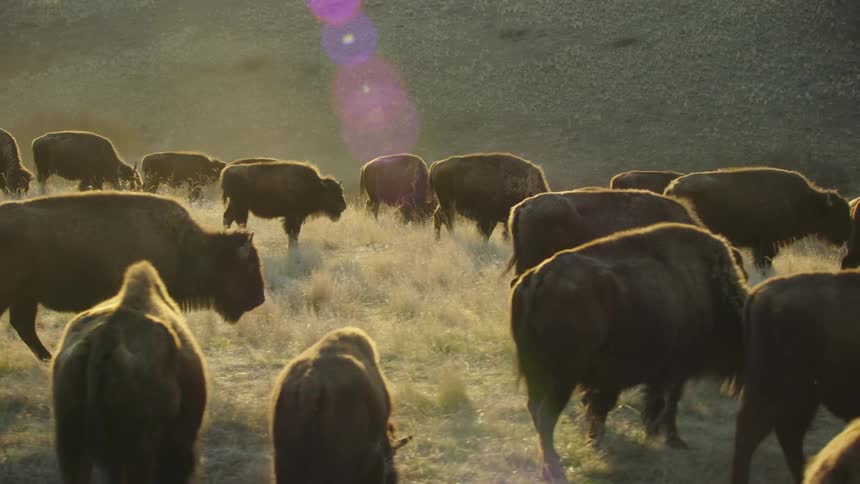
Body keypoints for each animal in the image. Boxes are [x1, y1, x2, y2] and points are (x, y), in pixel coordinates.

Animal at [0, 191, 265, 361]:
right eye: (249, 267)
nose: (259, 299)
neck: (184, 246)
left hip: (25, 297)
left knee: (23, 327)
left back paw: (49, 359)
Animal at [512, 223, 747, 482]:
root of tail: (538, 277)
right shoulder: (675, 370)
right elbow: (668, 403)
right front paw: (674, 440)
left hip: (536, 371)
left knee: (536, 410)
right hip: (563, 377)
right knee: (546, 416)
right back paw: (554, 470)